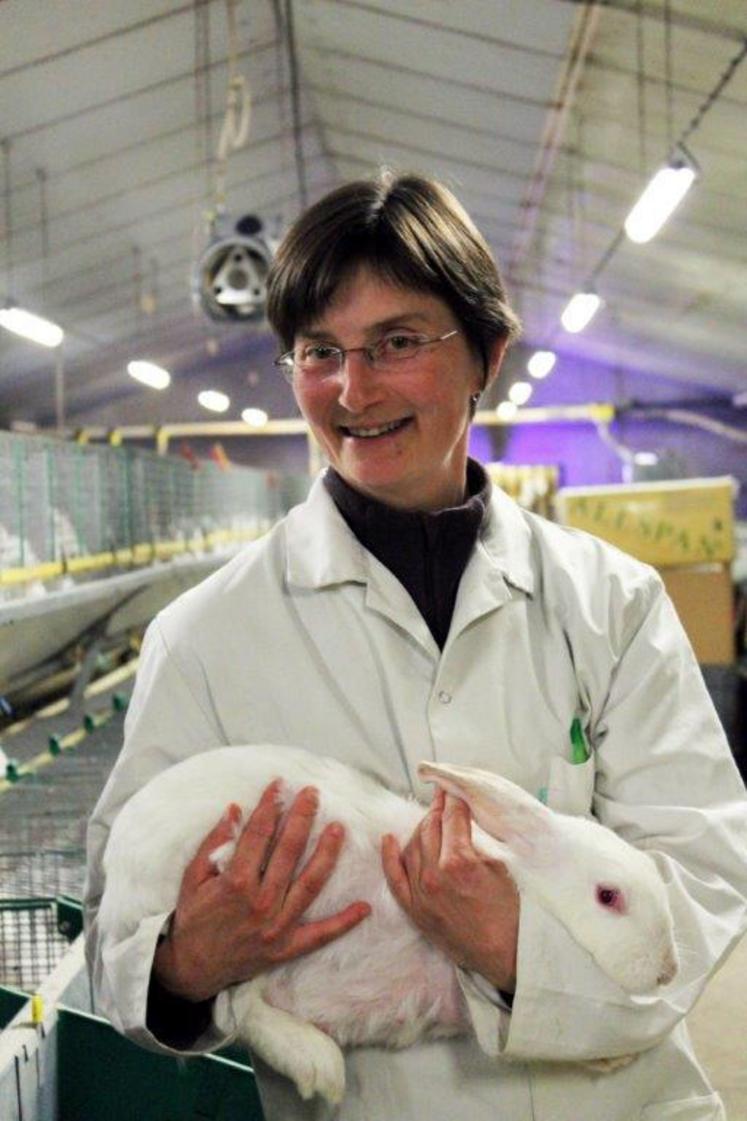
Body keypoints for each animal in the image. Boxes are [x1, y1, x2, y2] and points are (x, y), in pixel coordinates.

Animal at [102, 744, 677, 1103]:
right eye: (608, 896)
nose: (668, 971)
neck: (525, 883)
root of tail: (115, 888)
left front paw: (611, 1060)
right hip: (238, 923)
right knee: (237, 1006)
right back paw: (321, 1069)